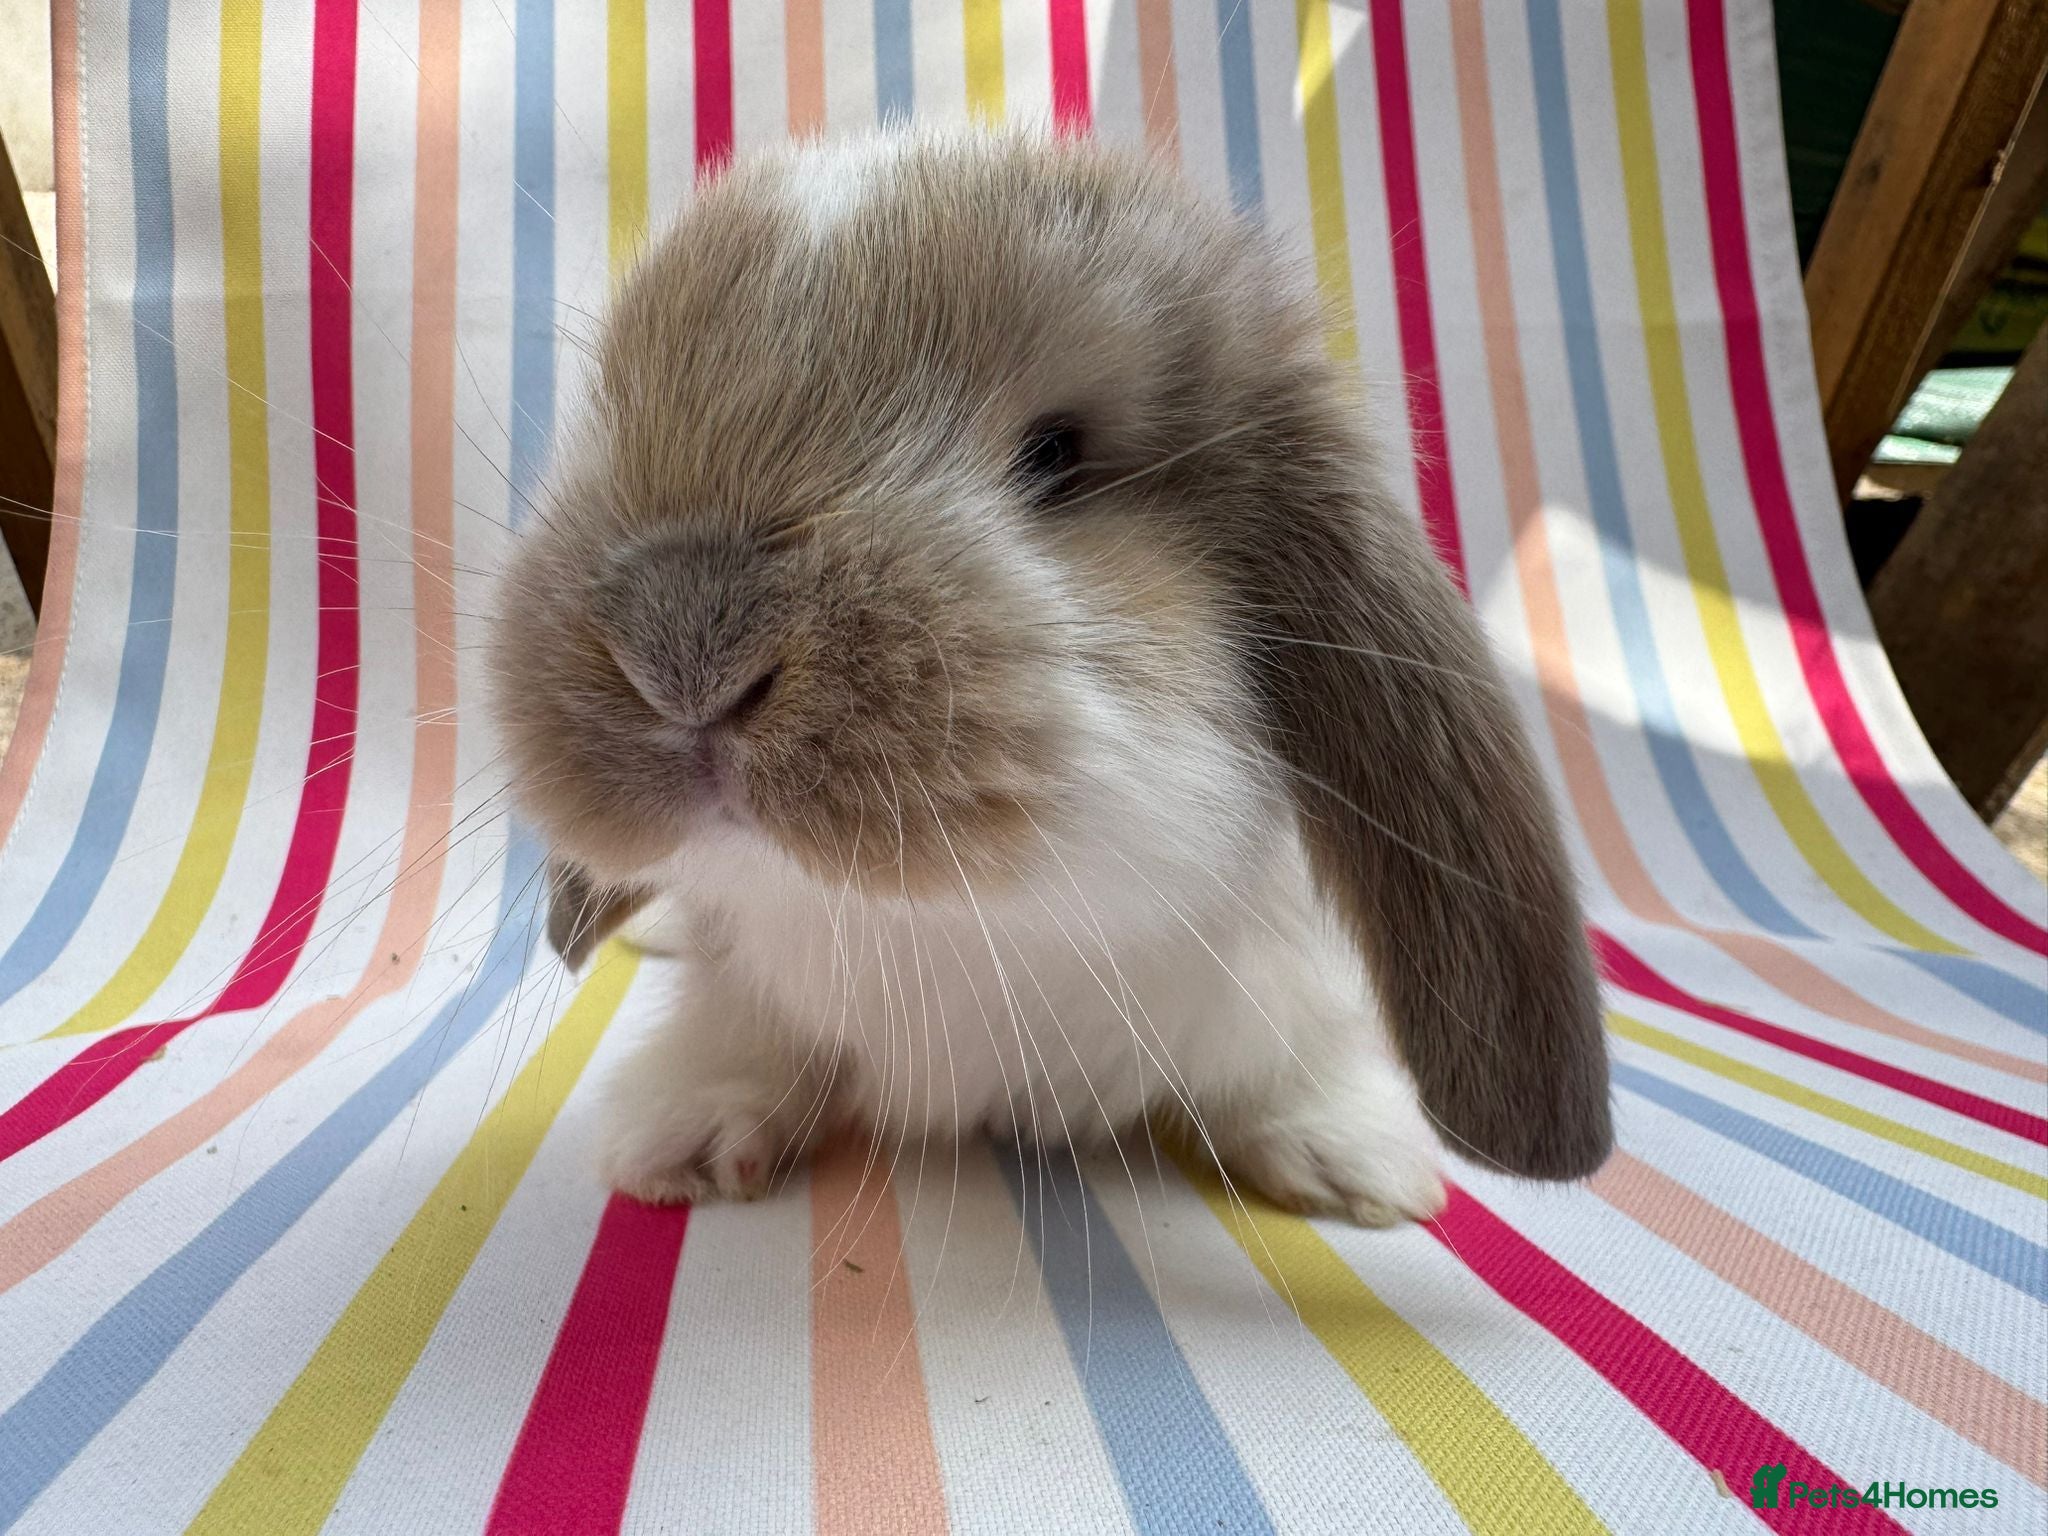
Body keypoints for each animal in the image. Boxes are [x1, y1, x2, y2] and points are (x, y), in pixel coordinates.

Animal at [490, 130, 1611, 1224]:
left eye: (1053, 455)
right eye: (616, 409)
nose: (679, 649)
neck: (960, 926)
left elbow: (1283, 1064)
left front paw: (1349, 1155)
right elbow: (750, 1035)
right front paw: (686, 1130)